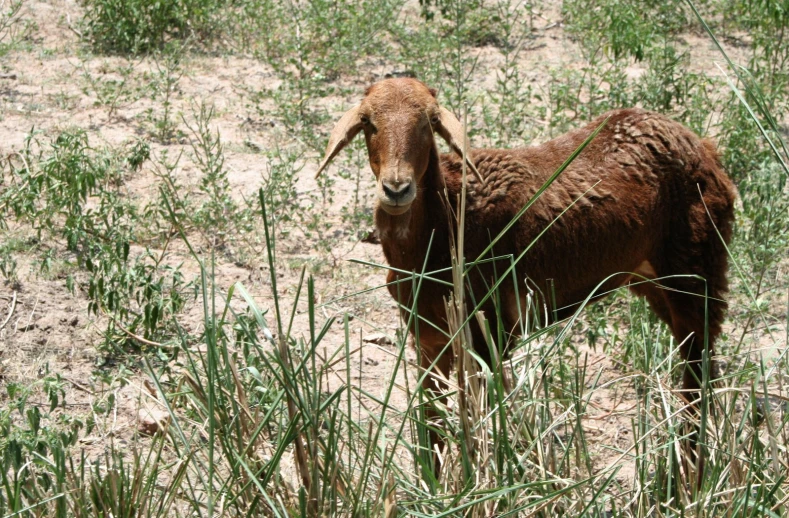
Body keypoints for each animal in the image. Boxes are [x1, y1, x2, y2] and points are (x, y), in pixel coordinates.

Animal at [318, 76, 736, 476]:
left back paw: (689, 475)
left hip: (697, 268)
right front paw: (434, 485)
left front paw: (479, 484)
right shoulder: (427, 338)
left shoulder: (489, 332)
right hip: (651, 278)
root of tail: (704, 147)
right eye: (368, 122)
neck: (450, 216)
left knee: (698, 374)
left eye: (430, 123)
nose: (396, 189)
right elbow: (431, 424)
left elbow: (477, 425)